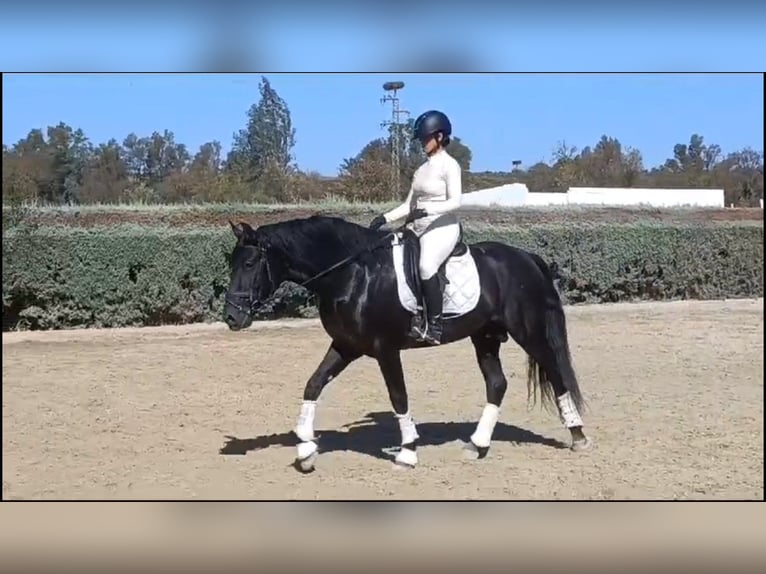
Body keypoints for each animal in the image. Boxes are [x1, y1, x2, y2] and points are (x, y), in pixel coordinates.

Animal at [224, 214, 590, 472]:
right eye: (231, 262)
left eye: (250, 263)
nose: (231, 317)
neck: (353, 274)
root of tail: (526, 257)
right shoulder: (346, 345)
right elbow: (313, 384)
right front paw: (305, 449)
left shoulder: (385, 349)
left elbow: (398, 396)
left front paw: (408, 452)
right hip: (485, 336)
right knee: (497, 384)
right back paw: (477, 445)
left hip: (528, 332)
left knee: (555, 373)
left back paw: (578, 437)